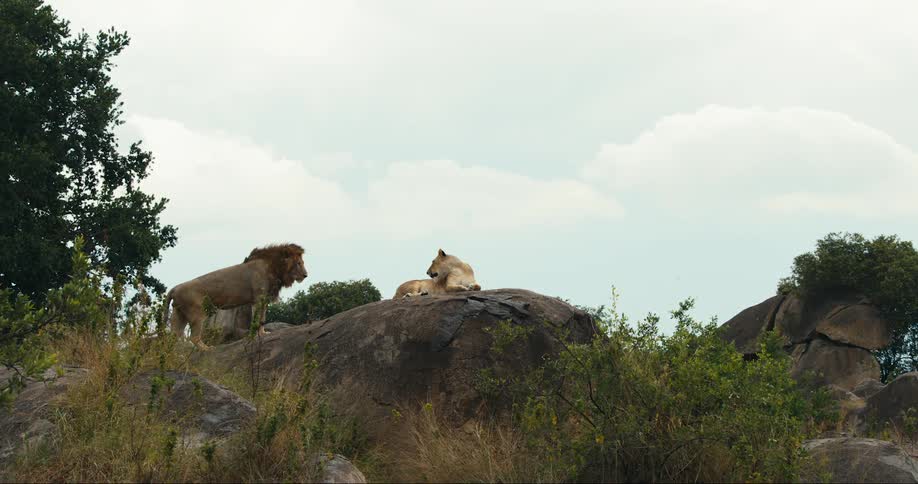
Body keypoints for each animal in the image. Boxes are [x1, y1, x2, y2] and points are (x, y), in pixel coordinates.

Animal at [162, 243, 307, 350]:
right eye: (299, 263)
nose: (306, 275)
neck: (274, 268)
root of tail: (174, 288)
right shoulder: (258, 298)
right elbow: (257, 319)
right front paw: (258, 335)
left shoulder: (264, 300)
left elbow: (262, 318)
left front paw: (264, 333)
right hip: (197, 313)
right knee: (194, 337)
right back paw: (207, 349)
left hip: (179, 314)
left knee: (172, 337)